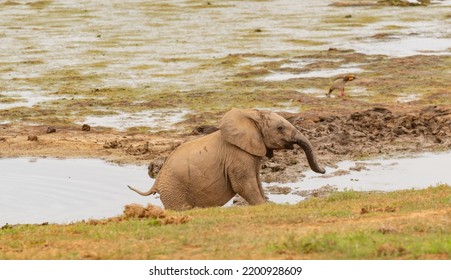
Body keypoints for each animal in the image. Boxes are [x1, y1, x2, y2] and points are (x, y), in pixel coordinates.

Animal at [129, 108, 326, 209]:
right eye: (280, 128)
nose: (324, 170)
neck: (251, 116)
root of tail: (156, 182)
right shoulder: (238, 155)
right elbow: (244, 185)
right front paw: (263, 207)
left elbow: (256, 181)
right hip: (174, 190)